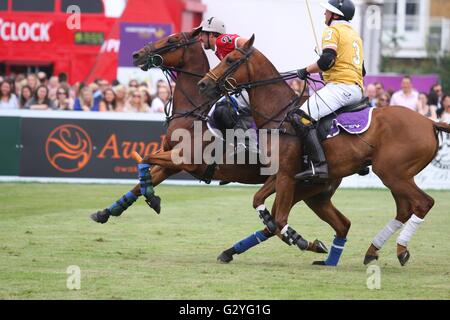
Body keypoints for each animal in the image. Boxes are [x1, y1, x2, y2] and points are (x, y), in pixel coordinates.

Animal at [198, 34, 450, 264]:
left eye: (230, 59)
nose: (203, 84)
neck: (279, 113)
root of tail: (430, 121)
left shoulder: (287, 175)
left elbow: (280, 219)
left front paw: (298, 238)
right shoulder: (281, 174)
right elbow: (259, 201)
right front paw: (272, 225)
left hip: (391, 172)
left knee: (423, 203)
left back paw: (400, 249)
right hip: (396, 175)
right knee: (402, 209)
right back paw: (371, 251)